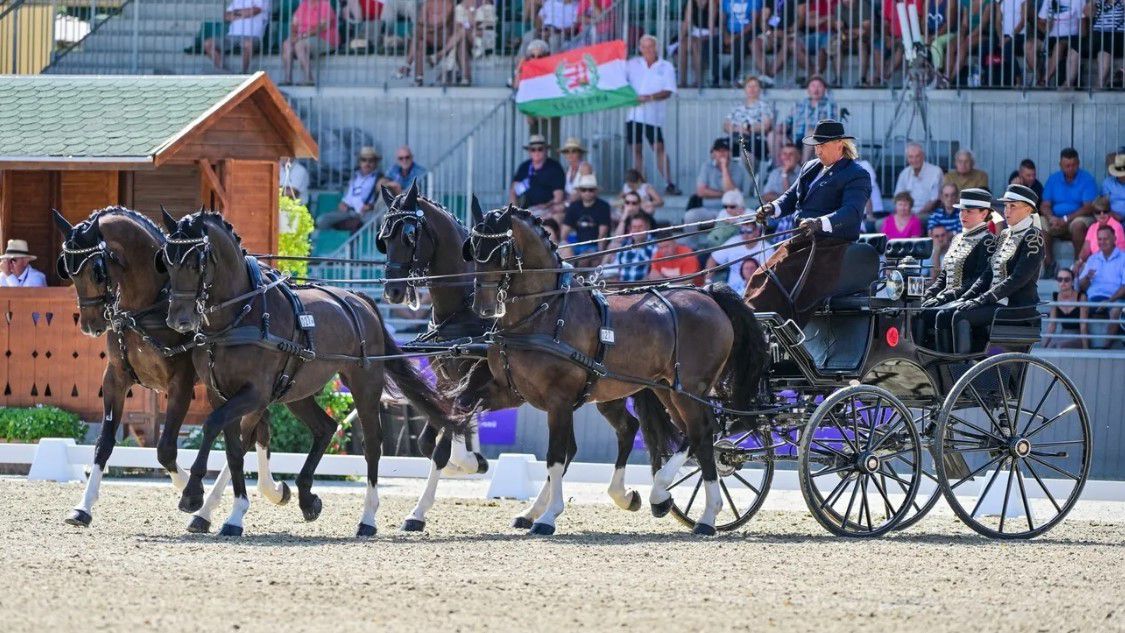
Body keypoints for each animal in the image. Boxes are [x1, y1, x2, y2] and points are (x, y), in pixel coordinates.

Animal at [52, 208, 290, 530]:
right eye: (68, 269)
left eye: (97, 270)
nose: (91, 325)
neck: (148, 304)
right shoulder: (115, 378)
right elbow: (104, 443)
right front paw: (83, 507)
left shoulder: (181, 384)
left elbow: (165, 449)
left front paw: (192, 491)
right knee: (258, 430)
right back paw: (272, 491)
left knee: (249, 433)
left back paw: (222, 504)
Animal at [156, 210, 463, 537]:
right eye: (167, 260)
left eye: (196, 261)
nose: (178, 320)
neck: (240, 316)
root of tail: (359, 299)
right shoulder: (221, 395)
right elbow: (234, 449)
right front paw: (232, 513)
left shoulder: (254, 394)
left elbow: (215, 427)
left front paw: (193, 494)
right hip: (296, 391)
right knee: (325, 427)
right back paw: (306, 497)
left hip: (364, 384)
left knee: (372, 444)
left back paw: (368, 518)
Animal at [375, 183, 675, 530]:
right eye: (383, 237)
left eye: (409, 235)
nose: (393, 291)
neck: (462, 310)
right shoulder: (451, 385)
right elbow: (431, 438)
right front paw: (466, 463)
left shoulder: (482, 380)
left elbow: (443, 441)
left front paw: (458, 473)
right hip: (604, 393)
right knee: (613, 432)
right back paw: (541, 510)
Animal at [461, 206, 769, 535]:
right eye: (473, 249)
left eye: (502, 250)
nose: (482, 307)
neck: (544, 313)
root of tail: (709, 294)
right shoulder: (510, 392)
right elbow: (463, 407)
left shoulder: (559, 400)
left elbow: (556, 456)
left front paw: (547, 517)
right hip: (665, 389)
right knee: (682, 433)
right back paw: (661, 499)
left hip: (690, 389)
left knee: (702, 432)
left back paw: (701, 513)